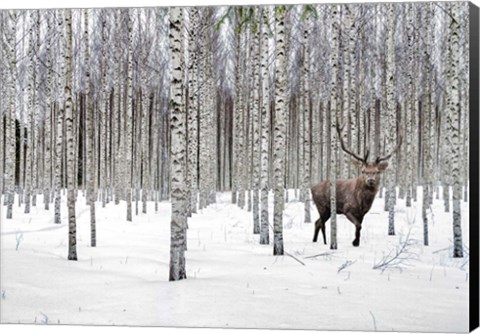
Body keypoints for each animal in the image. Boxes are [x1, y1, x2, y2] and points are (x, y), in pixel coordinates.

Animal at [312, 118, 402, 247]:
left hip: (328, 210)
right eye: (363, 171)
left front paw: (357, 242)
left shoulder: (363, 213)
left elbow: (359, 226)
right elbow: (358, 225)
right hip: (322, 206)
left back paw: (315, 241)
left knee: (317, 222)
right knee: (319, 222)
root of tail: (312, 188)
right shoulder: (347, 209)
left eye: (377, 171)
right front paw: (355, 242)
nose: (371, 180)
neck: (362, 201)